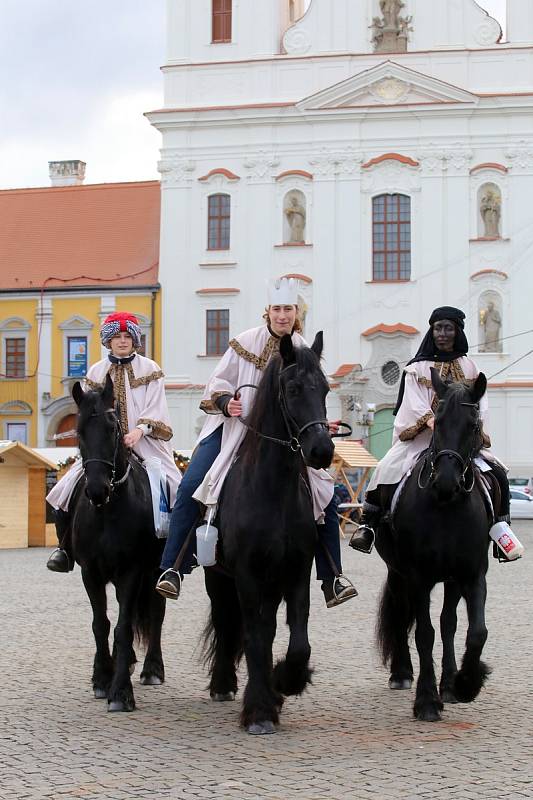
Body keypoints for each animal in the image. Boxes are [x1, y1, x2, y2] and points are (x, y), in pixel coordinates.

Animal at [70, 376, 165, 712]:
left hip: (155, 572)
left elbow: (124, 627)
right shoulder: (90, 572)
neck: (108, 512)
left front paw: (121, 692)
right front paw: (102, 678)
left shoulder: (132, 572)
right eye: (79, 430)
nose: (97, 490)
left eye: (112, 428)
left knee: (157, 613)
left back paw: (152, 668)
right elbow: (101, 623)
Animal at [203, 332, 332, 736]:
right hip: (218, 577)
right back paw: (223, 684)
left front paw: (285, 682)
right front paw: (259, 710)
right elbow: (255, 636)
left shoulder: (296, 572)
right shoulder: (247, 574)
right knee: (228, 622)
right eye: (293, 388)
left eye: (325, 388)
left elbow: (297, 639)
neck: (272, 491)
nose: (322, 450)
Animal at [374, 368, 490, 724]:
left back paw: (449, 683)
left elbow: (473, 631)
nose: (447, 482)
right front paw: (426, 700)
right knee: (402, 615)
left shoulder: (471, 575)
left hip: (450, 581)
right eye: (436, 421)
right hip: (398, 572)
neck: (446, 507)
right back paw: (401, 673)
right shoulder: (418, 577)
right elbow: (424, 633)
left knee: (448, 623)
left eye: (473, 425)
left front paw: (464, 683)